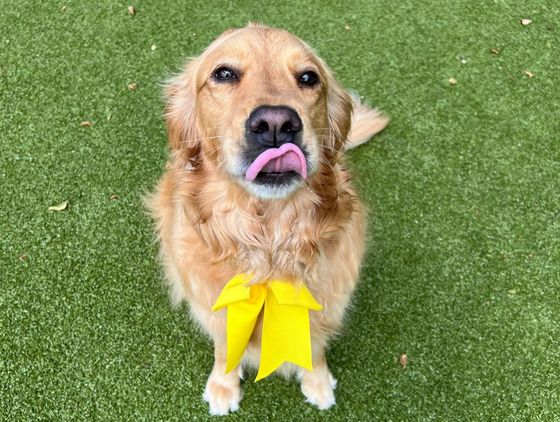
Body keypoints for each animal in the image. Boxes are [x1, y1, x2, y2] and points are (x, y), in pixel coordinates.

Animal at [147, 23, 388, 416]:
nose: (276, 122)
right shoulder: (216, 310)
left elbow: (315, 347)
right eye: (223, 74)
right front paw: (223, 385)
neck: (269, 244)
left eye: (308, 77)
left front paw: (318, 382)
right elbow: (224, 348)